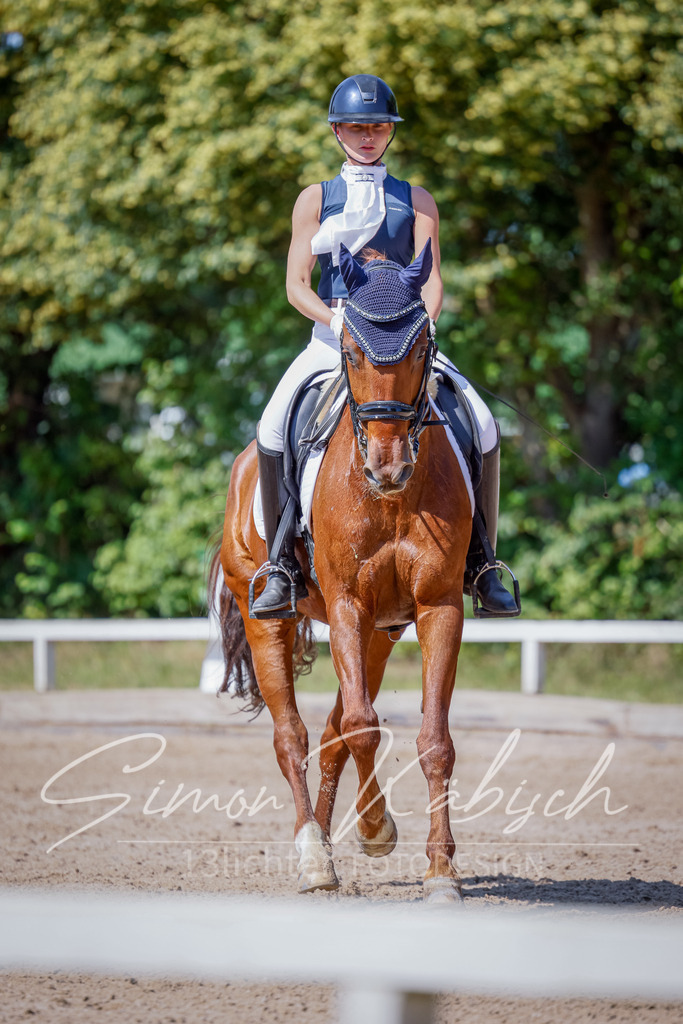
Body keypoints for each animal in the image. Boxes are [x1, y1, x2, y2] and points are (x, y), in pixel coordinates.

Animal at [209, 240, 472, 903]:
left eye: (422, 348)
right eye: (352, 352)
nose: (387, 468)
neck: (393, 499)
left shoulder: (436, 607)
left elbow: (432, 740)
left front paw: (441, 872)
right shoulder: (350, 603)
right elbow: (361, 728)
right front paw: (376, 830)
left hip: (381, 630)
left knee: (329, 736)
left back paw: (328, 850)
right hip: (266, 613)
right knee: (294, 735)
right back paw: (312, 858)